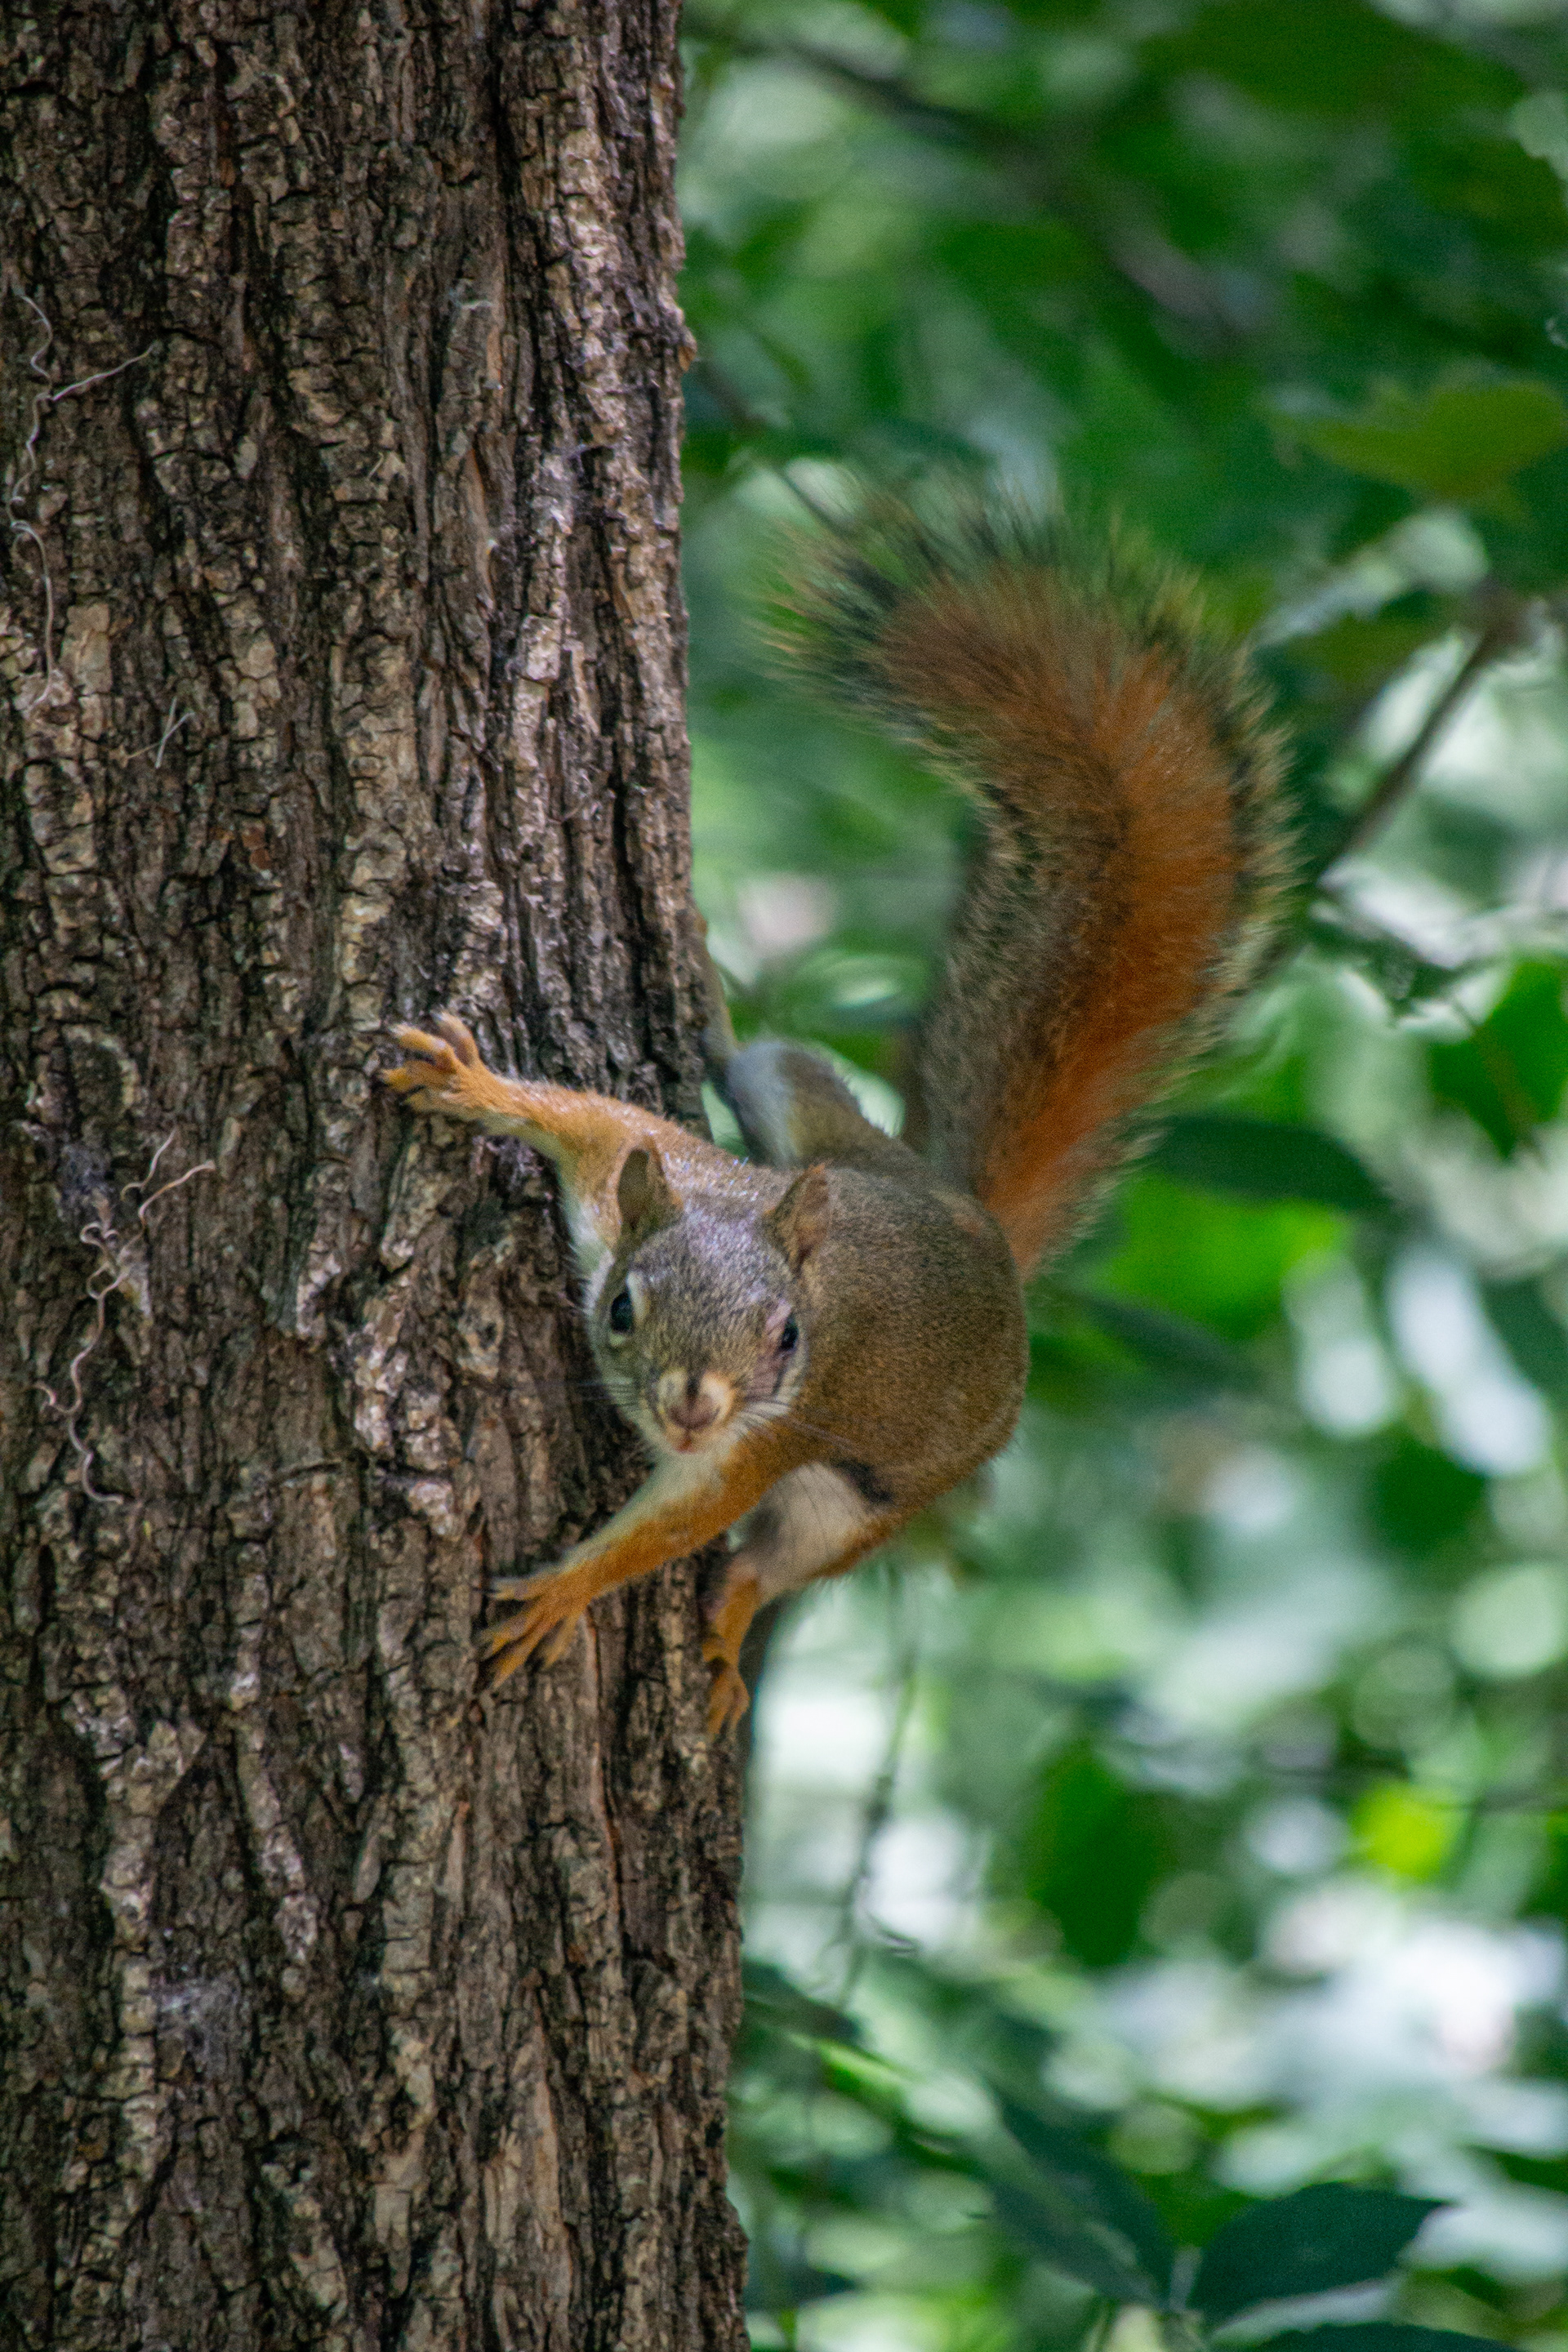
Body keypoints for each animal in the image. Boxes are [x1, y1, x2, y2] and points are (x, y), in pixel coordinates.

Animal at [385, 500, 1289, 1737]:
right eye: (621, 1309)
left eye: (788, 1341)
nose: (693, 1409)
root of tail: (989, 1247)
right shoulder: (644, 1170)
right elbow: (587, 1116)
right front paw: (475, 1087)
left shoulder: (768, 1438)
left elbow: (674, 1529)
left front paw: (566, 1591)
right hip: (805, 1097)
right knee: (758, 1060)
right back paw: (707, 993)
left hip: (877, 1487)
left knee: (777, 1564)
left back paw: (727, 1629)